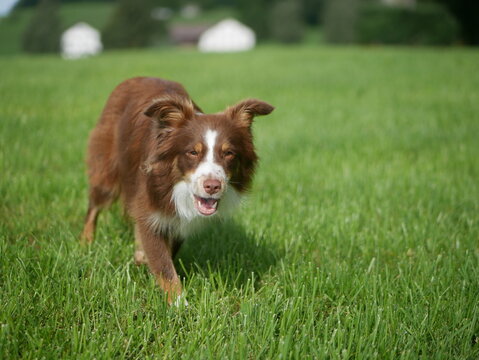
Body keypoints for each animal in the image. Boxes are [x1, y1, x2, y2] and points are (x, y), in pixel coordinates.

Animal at [80, 78, 272, 304]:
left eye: (229, 153)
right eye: (192, 152)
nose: (212, 186)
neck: (177, 185)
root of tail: (135, 78)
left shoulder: (180, 219)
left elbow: (169, 249)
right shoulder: (151, 199)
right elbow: (163, 264)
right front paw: (180, 304)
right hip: (107, 166)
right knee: (95, 205)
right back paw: (86, 243)